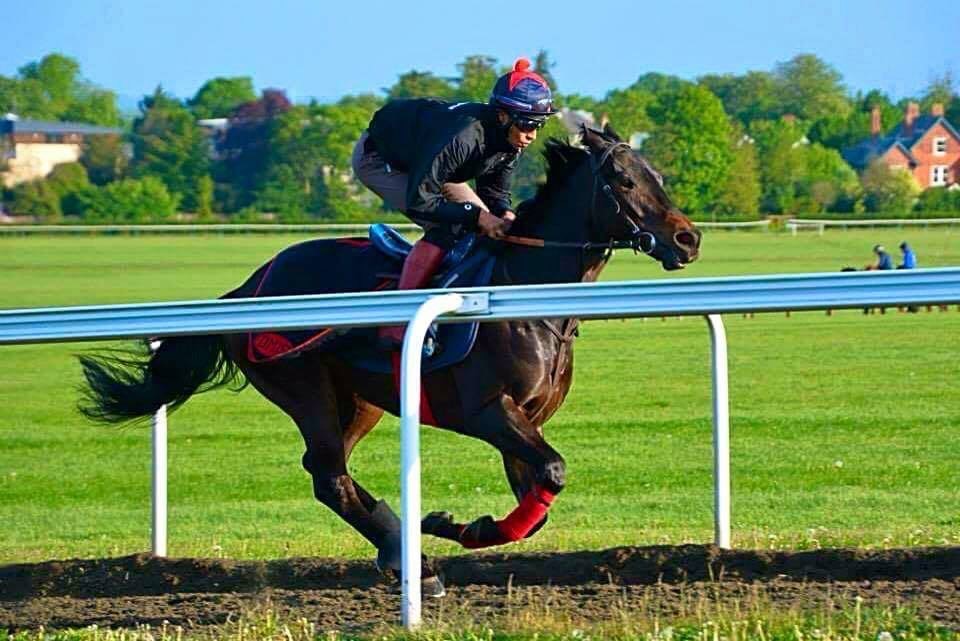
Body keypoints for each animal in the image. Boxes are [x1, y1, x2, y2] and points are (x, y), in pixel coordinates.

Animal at [79, 125, 700, 596]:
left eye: (659, 176)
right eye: (624, 180)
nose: (688, 240)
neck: (522, 293)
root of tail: (247, 287)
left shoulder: (527, 421)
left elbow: (536, 506)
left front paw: (453, 524)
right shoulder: (488, 412)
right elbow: (553, 472)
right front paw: (442, 522)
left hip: (358, 401)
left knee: (328, 474)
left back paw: (402, 553)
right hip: (303, 385)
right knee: (330, 477)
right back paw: (410, 561)